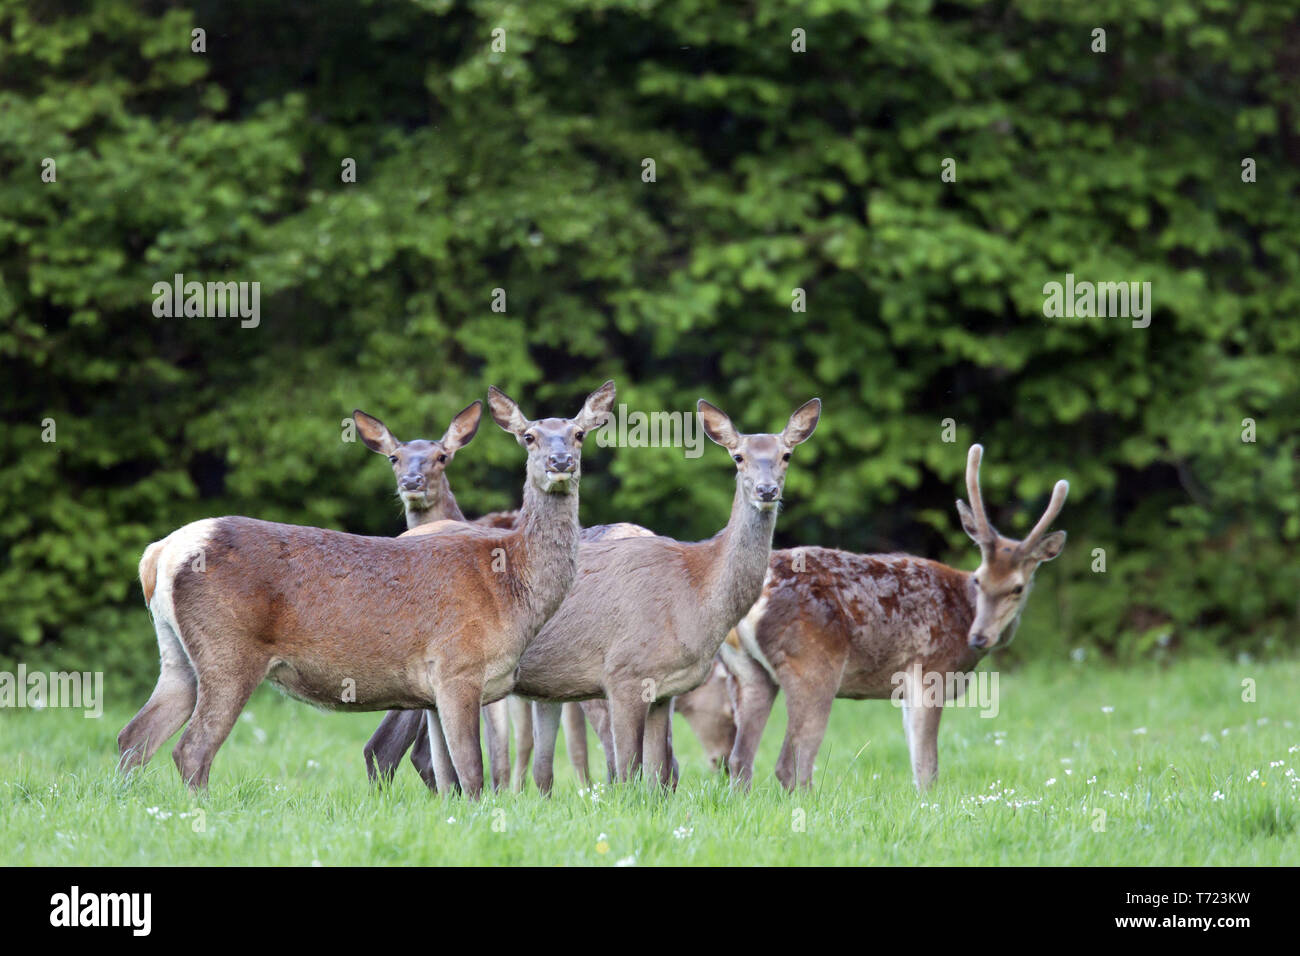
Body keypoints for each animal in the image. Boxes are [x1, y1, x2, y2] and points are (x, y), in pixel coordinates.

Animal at [506, 395, 821, 785]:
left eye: (786, 454)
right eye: (738, 456)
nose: (766, 491)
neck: (695, 594)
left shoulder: (664, 690)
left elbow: (659, 772)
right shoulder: (623, 672)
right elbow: (629, 770)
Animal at [722, 447, 1066, 790]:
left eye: (1017, 588)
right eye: (979, 579)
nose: (979, 637)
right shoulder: (929, 672)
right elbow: (927, 770)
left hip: (747, 670)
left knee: (739, 760)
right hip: (812, 662)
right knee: (790, 765)